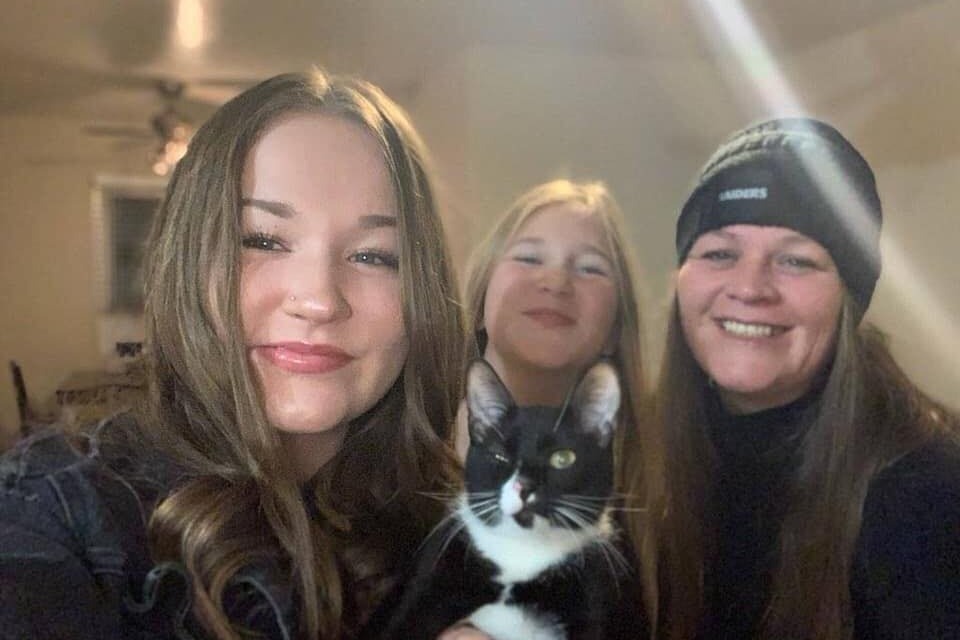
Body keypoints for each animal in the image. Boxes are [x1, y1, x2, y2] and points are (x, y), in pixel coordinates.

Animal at [361, 358, 642, 640]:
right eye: (499, 456)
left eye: (563, 458)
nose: (524, 486)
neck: (522, 553)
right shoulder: (429, 577)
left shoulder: (594, 597)